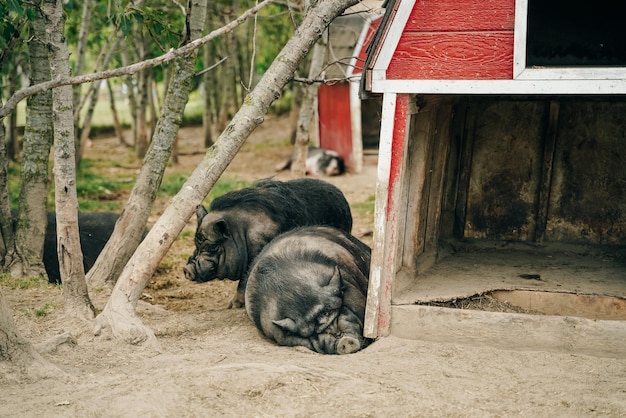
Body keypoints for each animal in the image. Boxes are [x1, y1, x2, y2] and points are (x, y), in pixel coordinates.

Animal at [183, 176, 354, 306]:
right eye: (195, 243)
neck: (241, 232)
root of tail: (342, 197)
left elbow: (245, 280)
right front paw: (230, 306)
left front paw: (234, 306)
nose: (186, 269)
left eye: (212, 246)